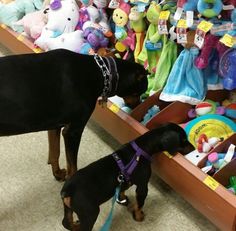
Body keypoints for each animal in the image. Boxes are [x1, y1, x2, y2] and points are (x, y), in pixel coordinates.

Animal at [0, 49, 148, 180]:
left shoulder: (55, 125)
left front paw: (58, 173)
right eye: (140, 92)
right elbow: (73, 167)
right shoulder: (73, 131)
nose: (139, 108)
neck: (100, 72)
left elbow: (55, 152)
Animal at [60, 122, 194, 230]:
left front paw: (123, 199)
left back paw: (75, 225)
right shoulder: (142, 186)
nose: (193, 148)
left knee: (66, 222)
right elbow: (140, 203)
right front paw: (139, 217)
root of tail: (67, 190)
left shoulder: (124, 180)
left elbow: (123, 189)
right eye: (184, 140)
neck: (141, 148)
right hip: (90, 213)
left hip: (69, 208)